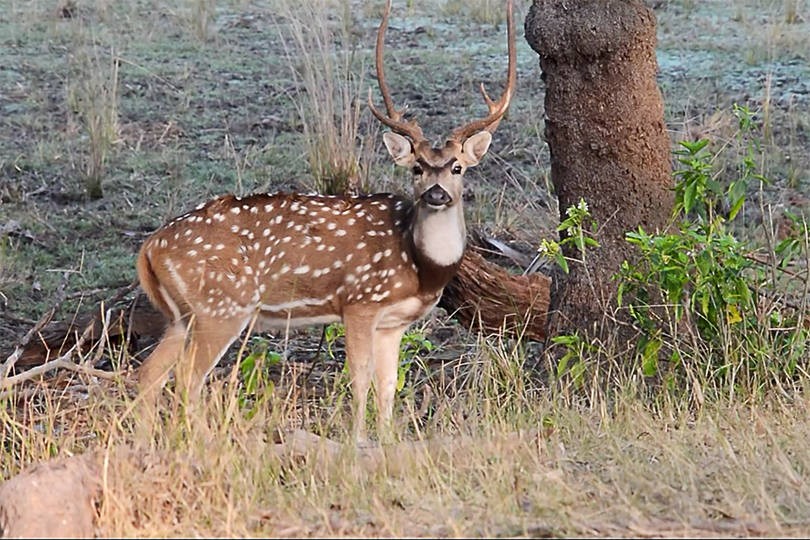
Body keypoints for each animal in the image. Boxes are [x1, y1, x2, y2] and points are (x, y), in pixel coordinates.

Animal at [133, 0, 512, 440]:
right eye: (417, 167)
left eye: (457, 167)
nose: (435, 194)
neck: (420, 265)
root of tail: (149, 247)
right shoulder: (360, 301)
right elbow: (360, 378)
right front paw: (358, 439)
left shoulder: (393, 321)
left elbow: (389, 384)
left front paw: (387, 439)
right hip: (221, 307)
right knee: (186, 378)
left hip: (182, 314)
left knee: (150, 374)